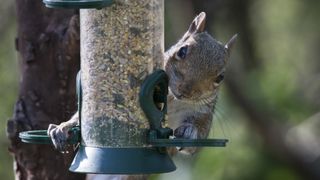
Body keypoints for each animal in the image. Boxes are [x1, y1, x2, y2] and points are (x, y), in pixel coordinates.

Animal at [47, 11, 238, 155]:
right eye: (182, 51)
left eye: (220, 77)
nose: (185, 90)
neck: (173, 100)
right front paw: (64, 127)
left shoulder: (204, 111)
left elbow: (197, 137)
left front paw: (190, 132)